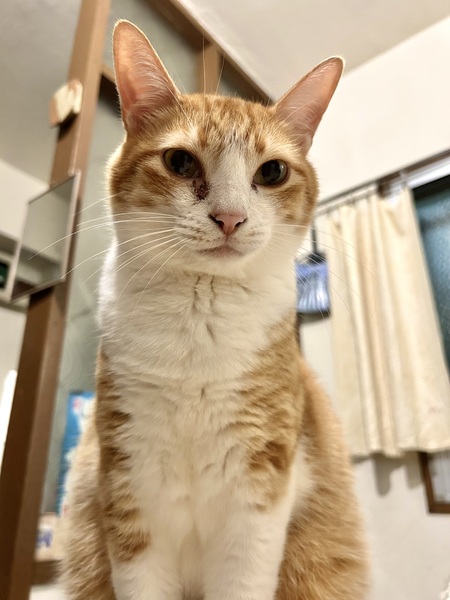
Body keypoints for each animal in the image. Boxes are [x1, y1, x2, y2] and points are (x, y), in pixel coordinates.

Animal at [61, 19, 369, 600]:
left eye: (272, 173)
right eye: (180, 162)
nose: (229, 217)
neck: (199, 316)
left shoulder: (259, 494)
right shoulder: (128, 485)